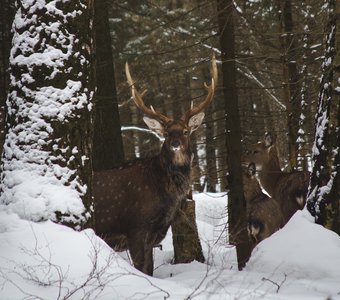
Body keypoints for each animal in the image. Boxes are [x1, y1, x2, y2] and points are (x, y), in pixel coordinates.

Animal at [92, 55, 218, 276]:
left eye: (185, 131)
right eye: (167, 133)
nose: (175, 144)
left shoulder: (153, 236)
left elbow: (149, 269)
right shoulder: (135, 228)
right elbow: (142, 270)